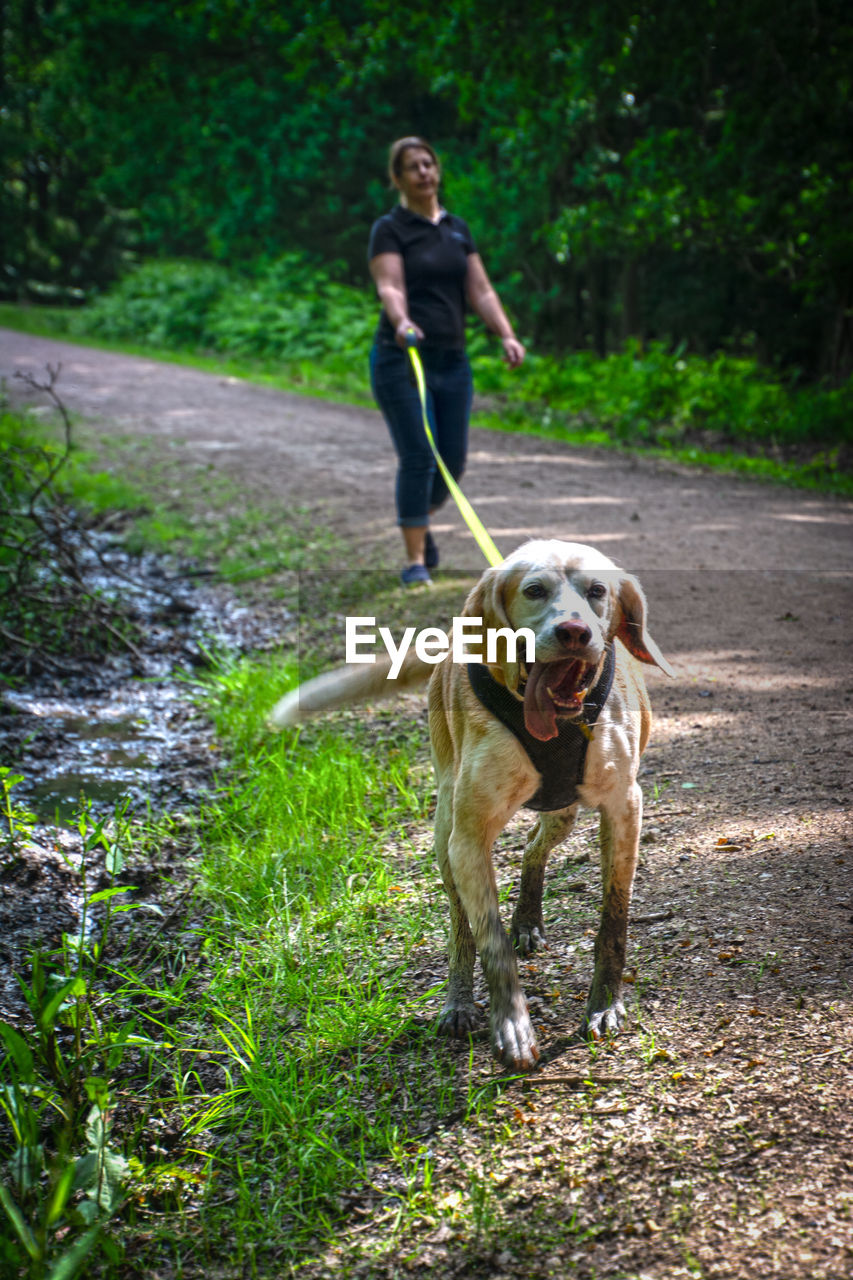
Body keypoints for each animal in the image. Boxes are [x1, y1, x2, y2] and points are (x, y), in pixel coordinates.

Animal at [268, 540, 676, 1070]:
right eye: (534, 590)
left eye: (597, 591)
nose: (574, 632)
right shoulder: (469, 835)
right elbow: (491, 941)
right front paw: (512, 1024)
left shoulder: (624, 809)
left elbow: (614, 919)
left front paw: (605, 1004)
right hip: (446, 837)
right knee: (461, 924)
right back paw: (460, 999)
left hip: (562, 812)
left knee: (533, 847)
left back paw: (527, 919)